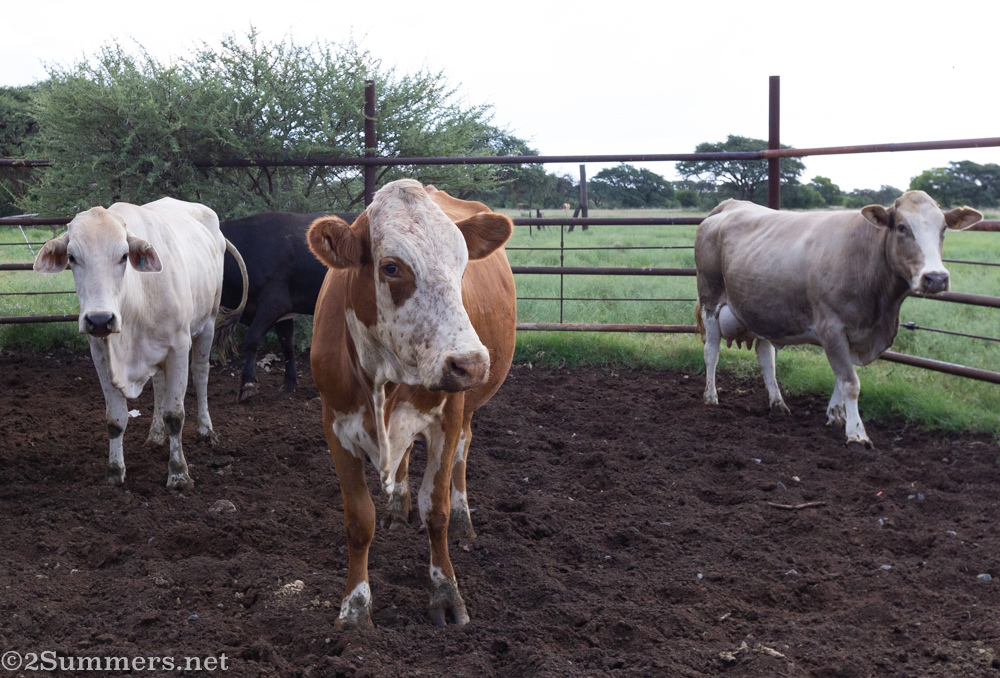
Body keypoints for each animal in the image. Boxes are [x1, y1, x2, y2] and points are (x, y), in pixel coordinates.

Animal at [33, 197, 248, 490]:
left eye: (124, 256)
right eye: (72, 257)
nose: (100, 320)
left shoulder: (179, 348)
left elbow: (175, 415)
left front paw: (178, 473)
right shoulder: (100, 354)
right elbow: (115, 419)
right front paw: (115, 471)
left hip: (208, 323)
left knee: (201, 374)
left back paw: (206, 430)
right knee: (159, 385)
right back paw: (156, 435)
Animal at [215, 212, 331, 401]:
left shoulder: (275, 303)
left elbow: (252, 338)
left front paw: (247, 384)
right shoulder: (283, 313)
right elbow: (287, 343)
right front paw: (289, 383)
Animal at [307, 179, 516, 628]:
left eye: (462, 264)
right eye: (391, 267)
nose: (471, 363)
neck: (382, 372)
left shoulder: (447, 419)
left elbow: (435, 509)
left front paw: (446, 593)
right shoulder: (335, 425)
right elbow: (358, 520)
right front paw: (355, 605)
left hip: (466, 411)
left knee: (462, 456)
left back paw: (463, 517)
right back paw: (395, 504)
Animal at [695, 190, 981, 449]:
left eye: (943, 228)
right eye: (901, 227)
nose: (936, 278)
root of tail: (730, 205)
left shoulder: (854, 333)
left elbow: (840, 376)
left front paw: (836, 415)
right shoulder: (831, 327)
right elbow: (850, 382)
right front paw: (857, 433)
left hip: (760, 310)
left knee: (766, 357)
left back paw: (777, 403)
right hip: (710, 298)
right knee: (712, 351)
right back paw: (710, 396)